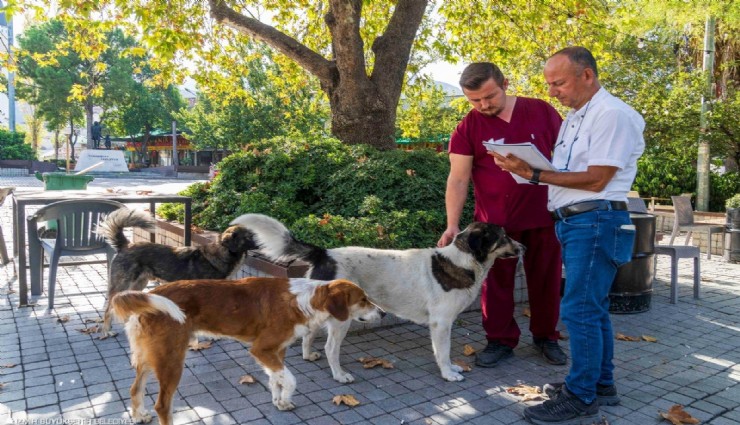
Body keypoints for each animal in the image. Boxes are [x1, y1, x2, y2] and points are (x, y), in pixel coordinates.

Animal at [112, 274, 384, 424]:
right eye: (363, 300)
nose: (382, 313)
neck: (305, 300)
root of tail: (153, 292)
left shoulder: (276, 351)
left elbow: (277, 380)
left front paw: (280, 402)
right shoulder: (261, 349)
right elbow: (292, 380)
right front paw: (285, 398)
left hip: (150, 357)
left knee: (135, 389)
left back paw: (139, 415)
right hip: (171, 359)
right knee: (161, 405)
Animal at [231, 214, 528, 382]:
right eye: (503, 236)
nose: (524, 246)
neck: (463, 261)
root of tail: (325, 252)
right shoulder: (441, 324)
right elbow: (442, 353)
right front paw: (448, 373)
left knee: (308, 335)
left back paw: (307, 356)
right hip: (341, 320)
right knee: (330, 348)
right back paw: (339, 376)